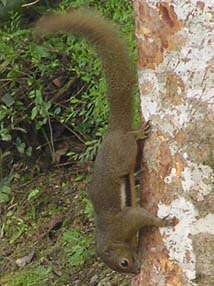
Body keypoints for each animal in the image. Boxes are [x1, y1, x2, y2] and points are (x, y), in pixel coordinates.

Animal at [35, 8, 174, 274]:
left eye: (123, 262)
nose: (136, 271)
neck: (113, 238)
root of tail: (112, 132)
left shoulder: (125, 221)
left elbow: (141, 217)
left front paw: (163, 221)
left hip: (122, 153)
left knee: (129, 146)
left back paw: (137, 134)